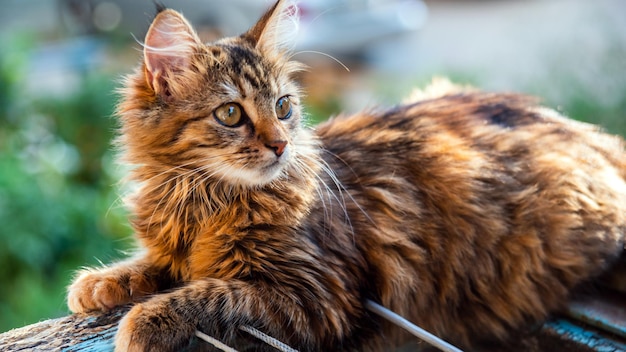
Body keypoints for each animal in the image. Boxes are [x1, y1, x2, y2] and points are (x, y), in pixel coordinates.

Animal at [66, 1, 620, 350]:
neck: (203, 198)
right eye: (230, 114)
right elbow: (157, 264)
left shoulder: (317, 295)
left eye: (283, 107)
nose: (280, 144)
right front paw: (101, 283)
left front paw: (144, 322)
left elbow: (210, 294)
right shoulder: (178, 242)